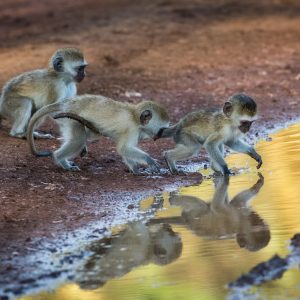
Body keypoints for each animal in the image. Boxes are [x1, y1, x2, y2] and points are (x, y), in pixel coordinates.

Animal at [26, 94, 170, 173]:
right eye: (162, 129)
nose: (159, 137)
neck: (134, 116)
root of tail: (67, 104)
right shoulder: (131, 129)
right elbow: (124, 148)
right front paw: (148, 160)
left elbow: (126, 150)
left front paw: (135, 169)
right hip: (71, 119)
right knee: (78, 140)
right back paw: (60, 160)